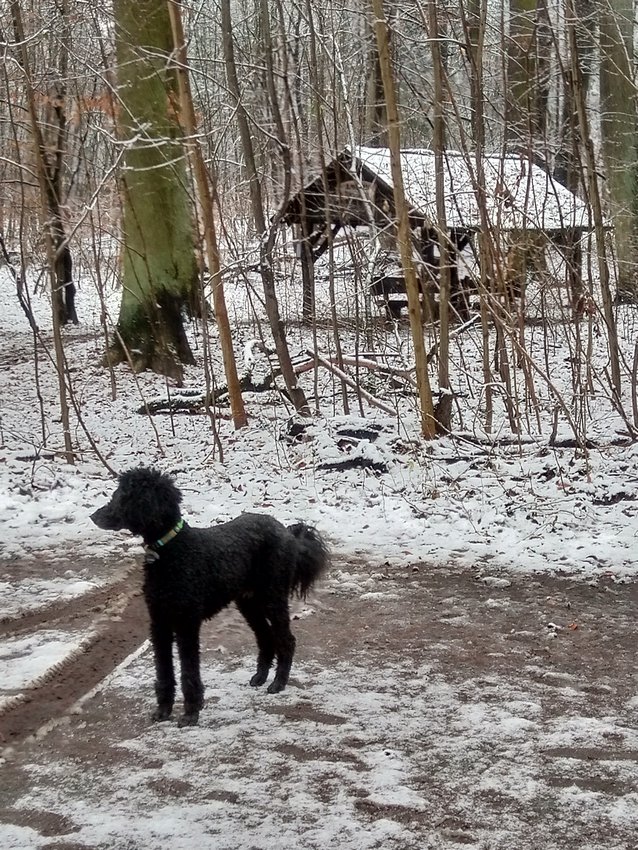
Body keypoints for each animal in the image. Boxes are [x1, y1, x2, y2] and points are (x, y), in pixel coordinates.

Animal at [91, 468, 330, 724]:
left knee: (287, 640)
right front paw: (164, 709)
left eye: (122, 497)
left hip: (273, 597)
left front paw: (191, 712)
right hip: (248, 602)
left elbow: (189, 671)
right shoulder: (159, 623)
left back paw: (279, 682)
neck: (170, 550)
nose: (94, 516)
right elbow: (163, 670)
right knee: (265, 637)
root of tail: (286, 531)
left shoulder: (186, 623)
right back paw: (260, 676)